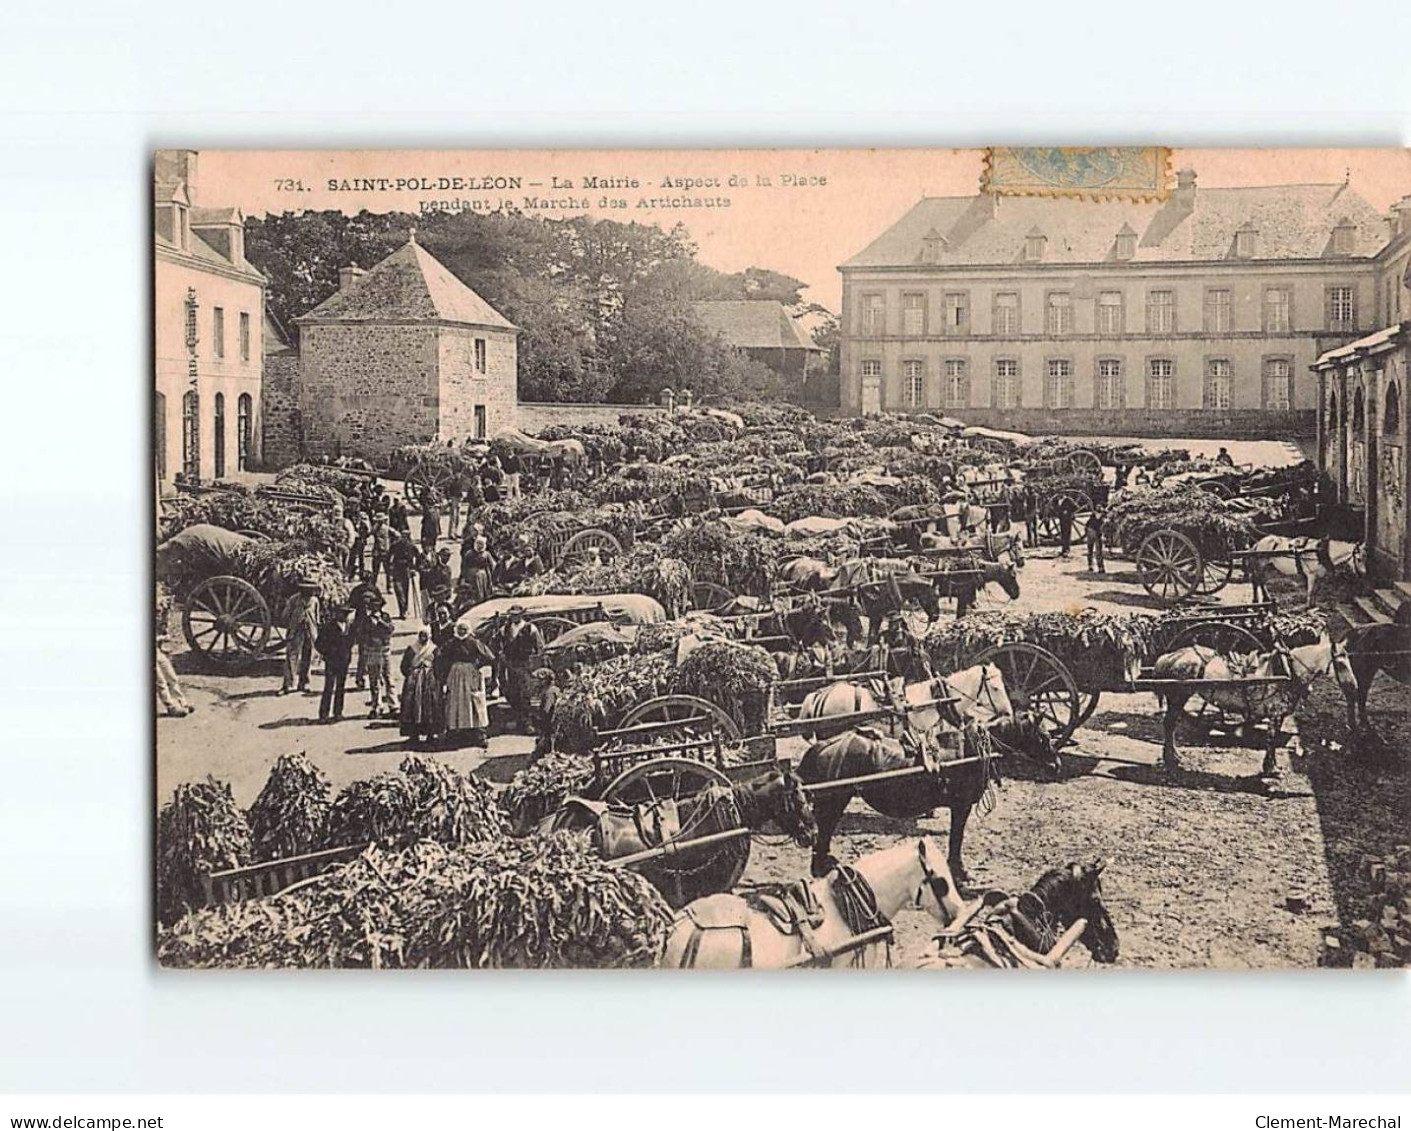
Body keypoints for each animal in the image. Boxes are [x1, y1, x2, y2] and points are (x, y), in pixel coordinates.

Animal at [1151, 640, 1360, 772]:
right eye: (1341, 664)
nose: (1354, 687)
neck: (1287, 671)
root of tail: (1173, 655)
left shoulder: (1277, 714)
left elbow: (1272, 739)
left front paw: (1271, 765)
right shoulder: (1275, 712)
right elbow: (1272, 739)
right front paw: (1270, 768)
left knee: (1170, 724)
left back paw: (1173, 755)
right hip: (1178, 696)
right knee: (1169, 724)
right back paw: (1171, 757)